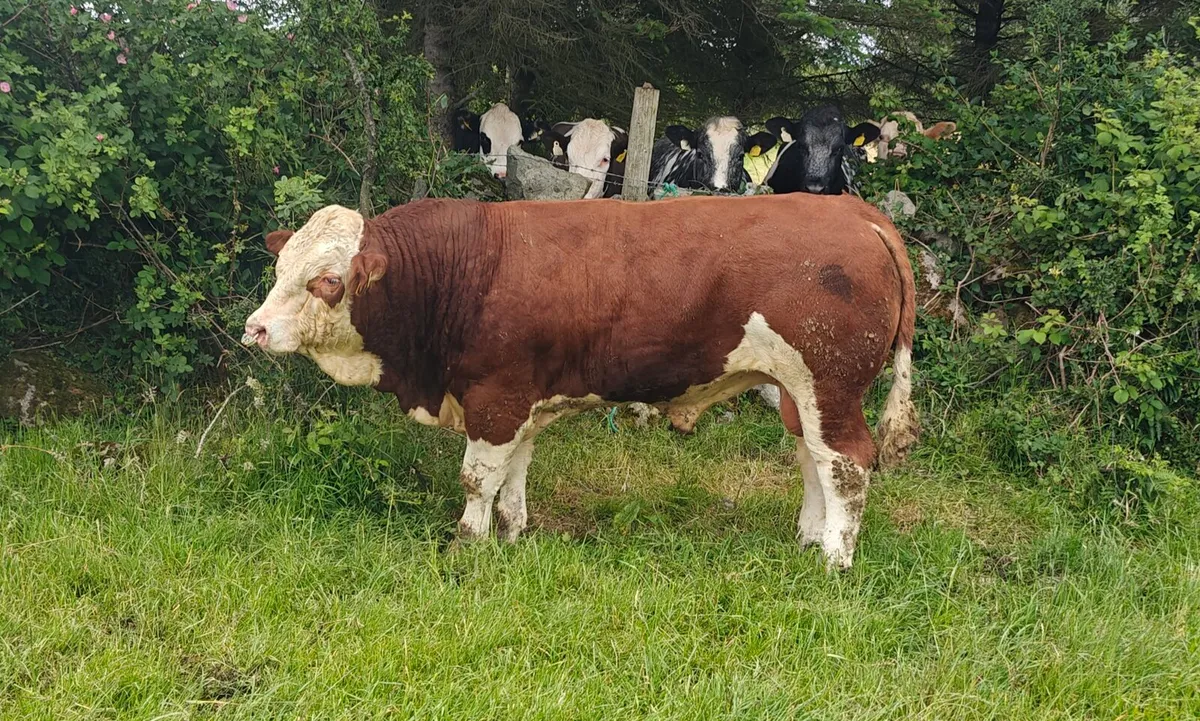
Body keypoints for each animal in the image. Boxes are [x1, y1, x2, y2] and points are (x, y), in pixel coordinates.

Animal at [242, 193, 920, 570]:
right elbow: (513, 473)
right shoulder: (520, 400)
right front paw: (511, 534)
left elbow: (477, 478)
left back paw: (834, 560)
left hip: (830, 383)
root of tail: (851, 209)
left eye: (327, 281)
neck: (463, 268)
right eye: (279, 268)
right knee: (812, 457)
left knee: (847, 463)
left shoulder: (496, 396)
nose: (256, 329)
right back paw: (808, 538)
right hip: (795, 389)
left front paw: (468, 544)